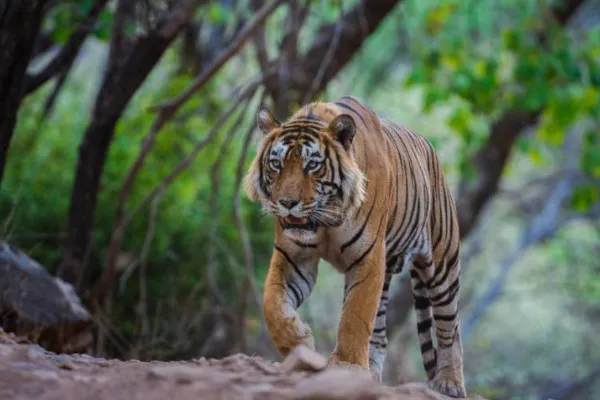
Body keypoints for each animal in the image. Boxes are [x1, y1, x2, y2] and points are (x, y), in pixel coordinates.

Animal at [245, 94, 468, 396]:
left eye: (312, 165)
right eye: (276, 164)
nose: (287, 203)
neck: (325, 221)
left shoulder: (368, 258)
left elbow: (355, 315)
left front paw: (348, 366)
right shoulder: (292, 257)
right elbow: (272, 304)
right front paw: (300, 342)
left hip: (444, 265)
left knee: (450, 329)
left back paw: (449, 382)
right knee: (381, 334)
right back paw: (371, 374)